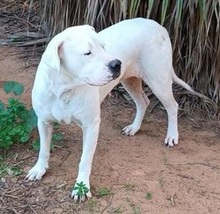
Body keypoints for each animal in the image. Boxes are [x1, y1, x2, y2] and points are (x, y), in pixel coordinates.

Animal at [25, 18, 203, 201]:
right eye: (87, 53)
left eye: (103, 47)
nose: (116, 63)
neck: (64, 89)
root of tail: (157, 25)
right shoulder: (44, 122)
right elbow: (43, 149)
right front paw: (39, 169)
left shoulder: (91, 125)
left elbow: (85, 159)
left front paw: (81, 187)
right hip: (130, 80)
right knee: (143, 102)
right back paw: (134, 128)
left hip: (158, 81)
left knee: (172, 106)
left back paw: (172, 136)